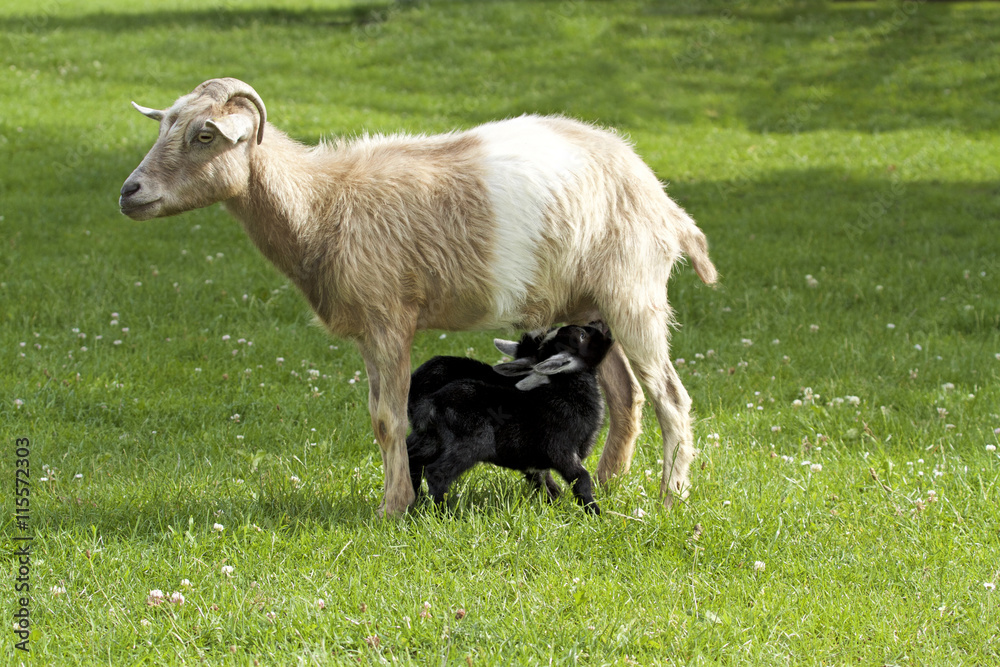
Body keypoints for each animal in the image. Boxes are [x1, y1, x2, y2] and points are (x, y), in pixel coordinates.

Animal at [407, 324, 613, 513]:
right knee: (436, 473)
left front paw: (554, 503)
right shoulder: (562, 449)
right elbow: (581, 479)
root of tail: (432, 402)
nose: (603, 327)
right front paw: (594, 513)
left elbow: (542, 480)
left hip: (430, 439)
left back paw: (417, 502)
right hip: (472, 443)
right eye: (582, 335)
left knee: (412, 459)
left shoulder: (534, 460)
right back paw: (445, 514)